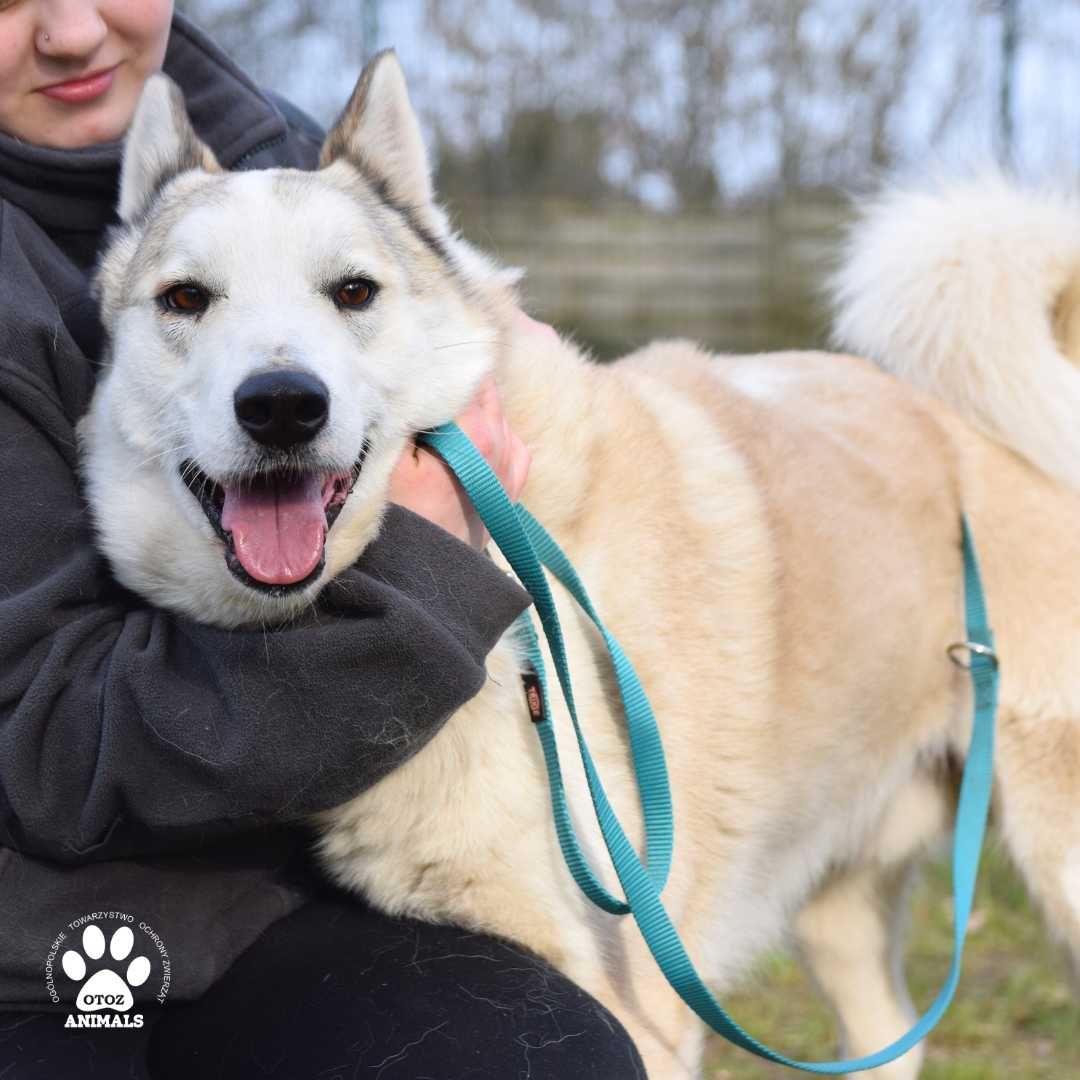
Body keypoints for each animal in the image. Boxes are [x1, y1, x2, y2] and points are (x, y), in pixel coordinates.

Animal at [76, 56, 1080, 1080]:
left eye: (353, 292)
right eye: (186, 299)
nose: (282, 405)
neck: (506, 600)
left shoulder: (650, 1004)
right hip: (844, 903)